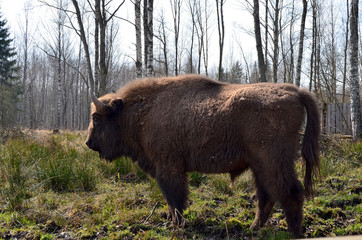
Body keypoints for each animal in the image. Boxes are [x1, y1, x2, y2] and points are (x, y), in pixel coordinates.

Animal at [85, 74, 320, 236]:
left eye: (96, 118)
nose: (89, 143)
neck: (143, 111)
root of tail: (295, 91)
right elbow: (171, 201)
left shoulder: (169, 168)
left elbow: (175, 199)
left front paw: (177, 226)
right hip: (259, 166)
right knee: (266, 197)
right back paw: (253, 229)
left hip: (272, 162)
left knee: (290, 193)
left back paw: (292, 233)